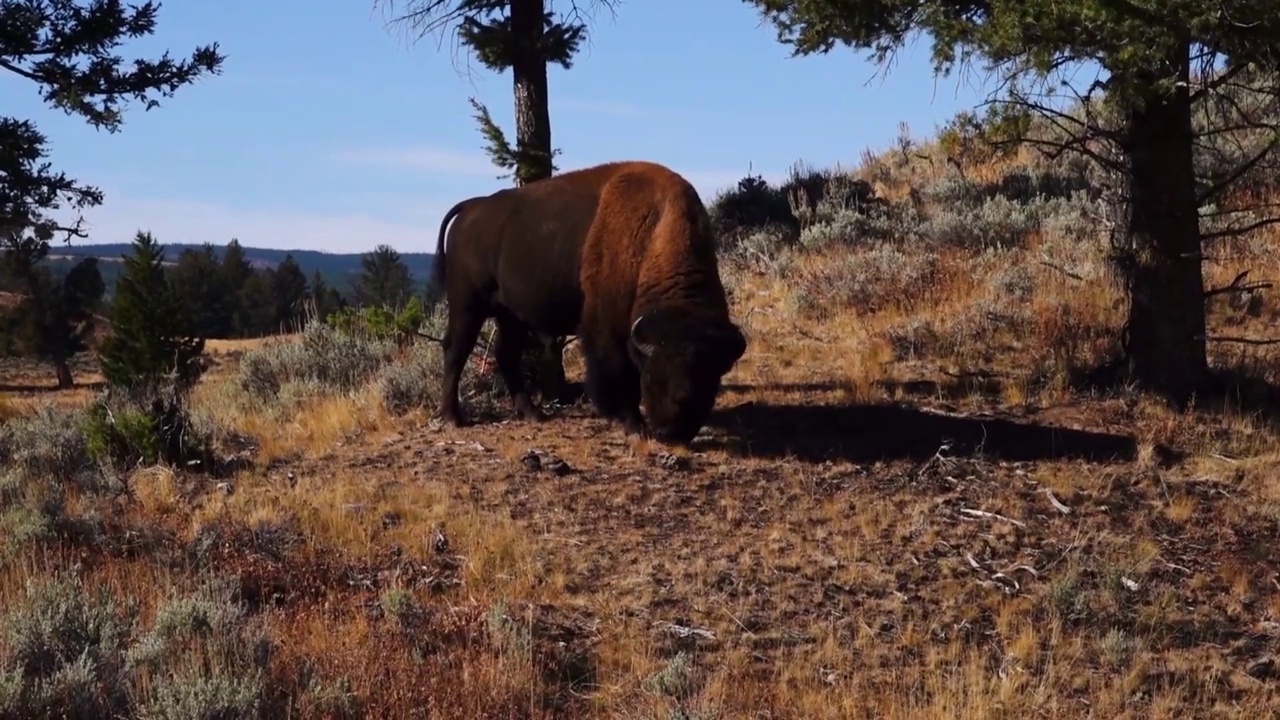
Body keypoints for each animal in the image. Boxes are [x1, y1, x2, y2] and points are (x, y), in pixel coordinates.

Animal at [432, 159, 747, 443]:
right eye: (654, 375)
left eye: (710, 377)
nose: (673, 434)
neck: (653, 232)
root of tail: (471, 207)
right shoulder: (608, 332)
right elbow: (618, 375)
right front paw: (634, 426)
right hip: (468, 304)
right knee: (456, 350)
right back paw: (453, 417)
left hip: (511, 314)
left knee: (505, 354)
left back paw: (533, 413)